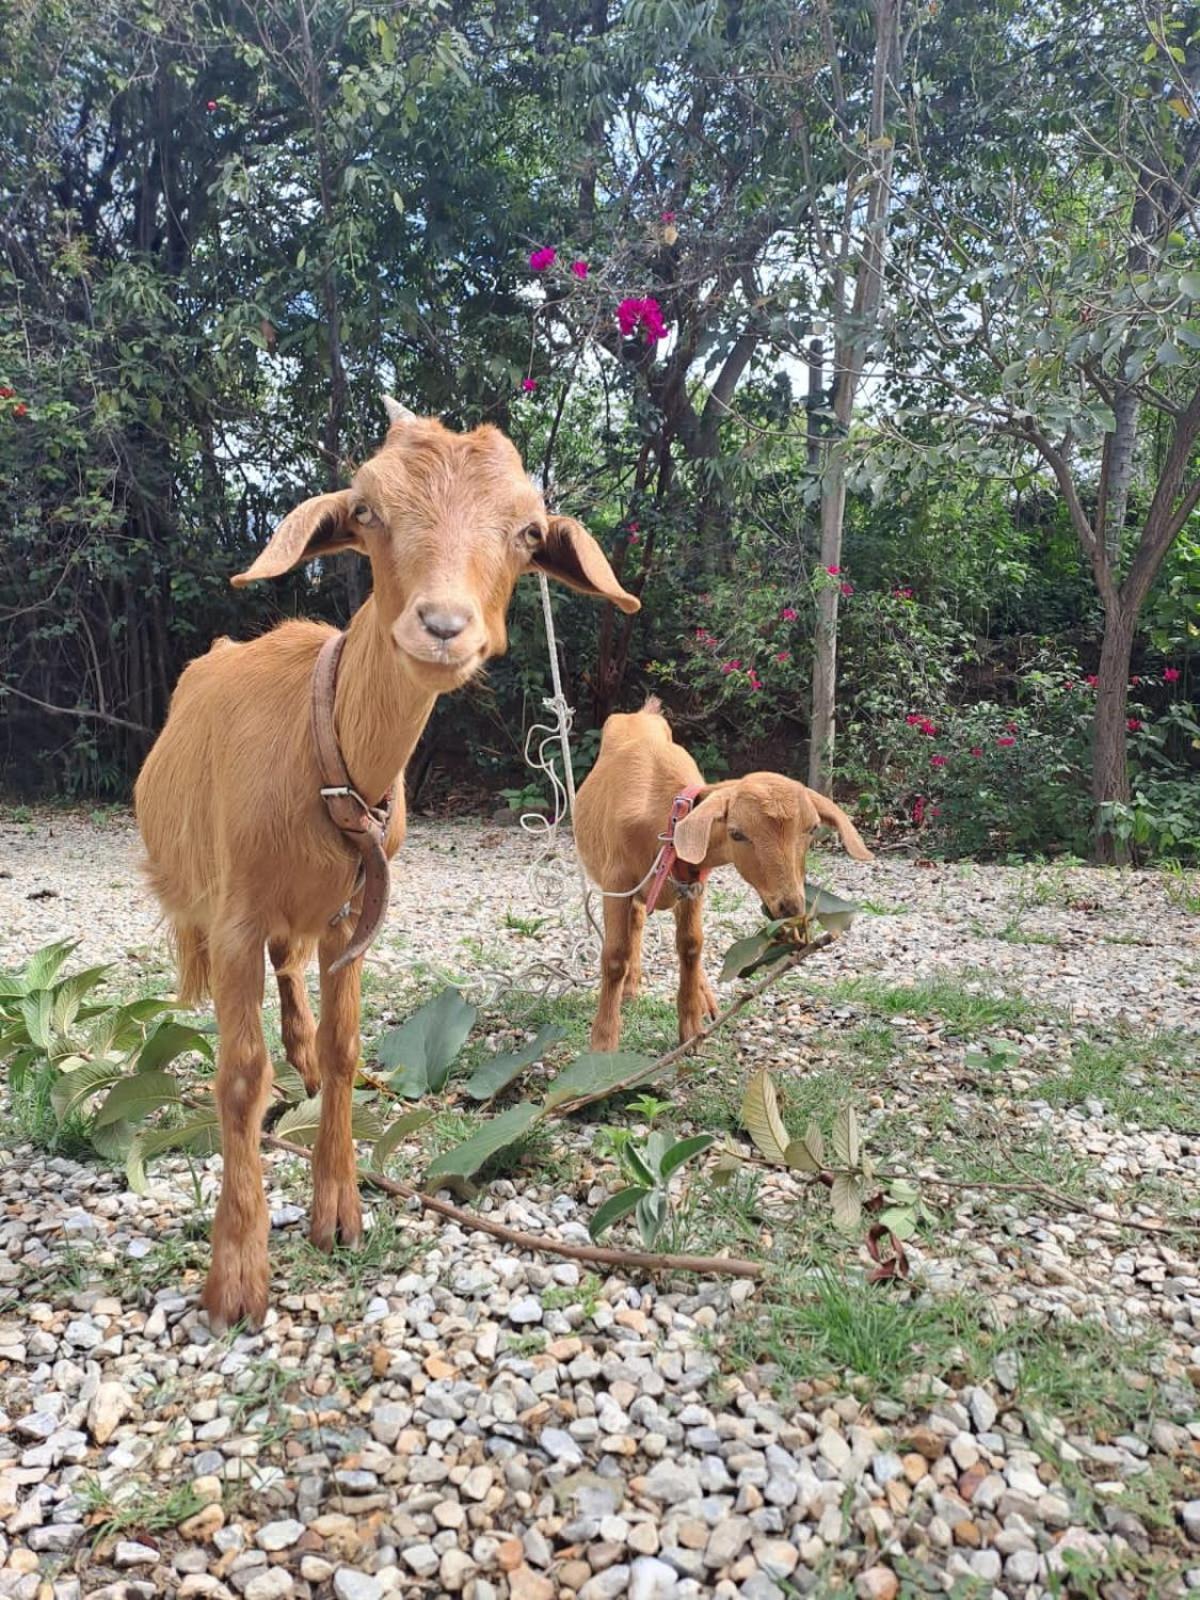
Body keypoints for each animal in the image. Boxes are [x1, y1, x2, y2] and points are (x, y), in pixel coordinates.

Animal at [133, 400, 640, 1324]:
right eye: (366, 511)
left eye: (527, 531)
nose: (442, 627)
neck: (323, 754)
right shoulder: (234, 915)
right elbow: (238, 1077)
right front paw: (237, 1277)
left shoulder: (352, 914)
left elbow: (343, 1046)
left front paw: (337, 1212)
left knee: (292, 977)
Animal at [572, 697, 876, 1049]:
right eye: (737, 833)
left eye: (813, 828)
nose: (790, 908)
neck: (664, 822)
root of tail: (641, 715)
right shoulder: (616, 880)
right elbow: (614, 956)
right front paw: (603, 1043)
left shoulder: (692, 881)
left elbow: (691, 945)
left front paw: (691, 1028)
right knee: (635, 923)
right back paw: (632, 990)